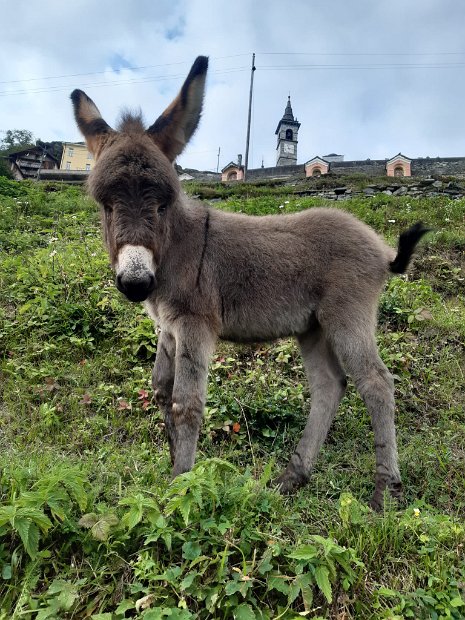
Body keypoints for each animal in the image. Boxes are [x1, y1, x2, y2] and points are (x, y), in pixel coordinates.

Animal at [70, 55, 430, 508]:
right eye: (105, 204)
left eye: (163, 203)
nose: (136, 283)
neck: (177, 246)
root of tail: (381, 248)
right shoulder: (167, 329)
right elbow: (160, 391)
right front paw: (171, 471)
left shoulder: (195, 325)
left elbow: (186, 402)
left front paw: (181, 488)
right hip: (313, 327)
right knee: (329, 386)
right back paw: (292, 477)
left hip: (347, 315)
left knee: (376, 383)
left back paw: (386, 491)